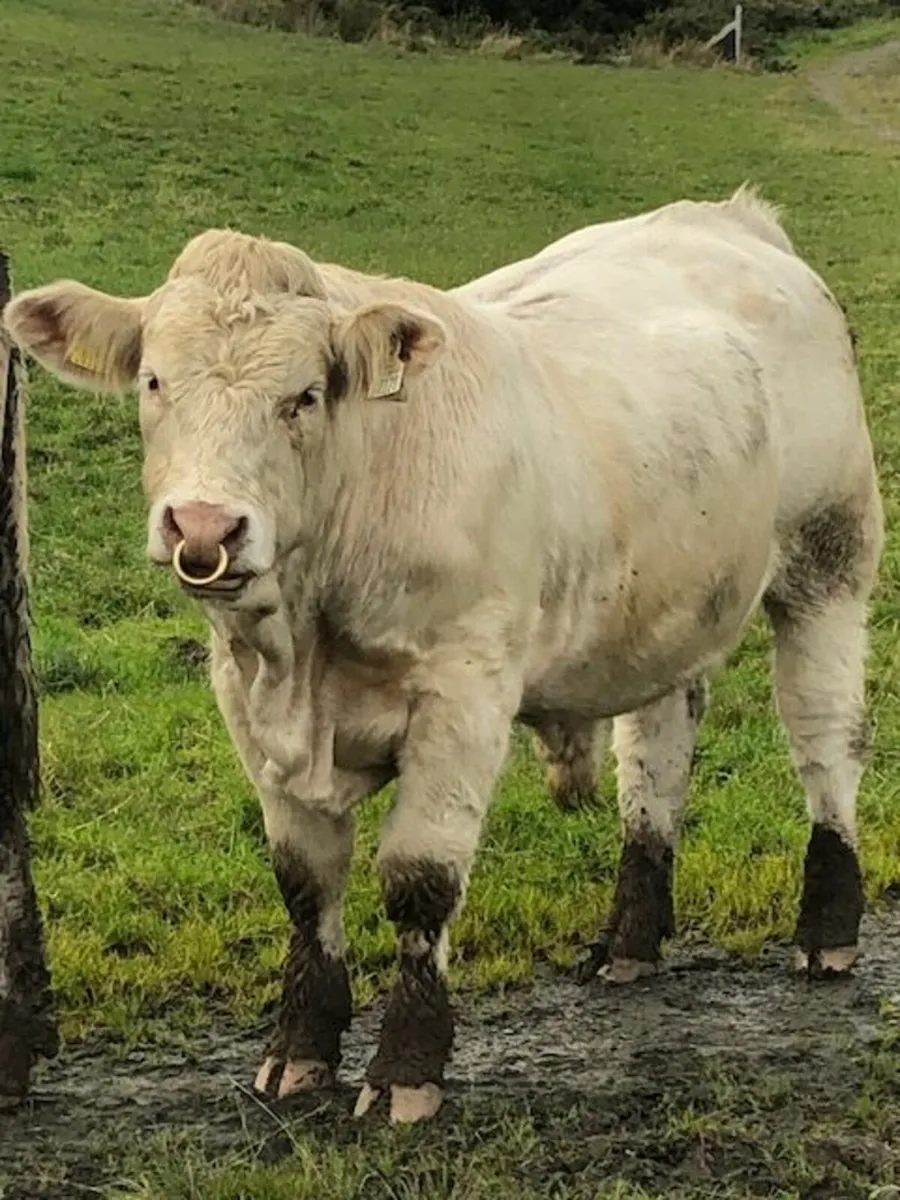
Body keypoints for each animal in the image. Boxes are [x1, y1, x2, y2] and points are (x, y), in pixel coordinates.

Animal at [3, 186, 883, 1124]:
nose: (203, 527)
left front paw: (405, 1069)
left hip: (828, 558)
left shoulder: (463, 696)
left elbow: (418, 878)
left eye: (304, 396)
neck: (305, 649)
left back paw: (827, 929)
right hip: (668, 602)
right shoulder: (244, 697)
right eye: (154, 381)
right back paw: (631, 939)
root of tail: (728, 217)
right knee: (656, 757)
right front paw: (299, 1050)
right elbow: (304, 881)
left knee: (824, 736)